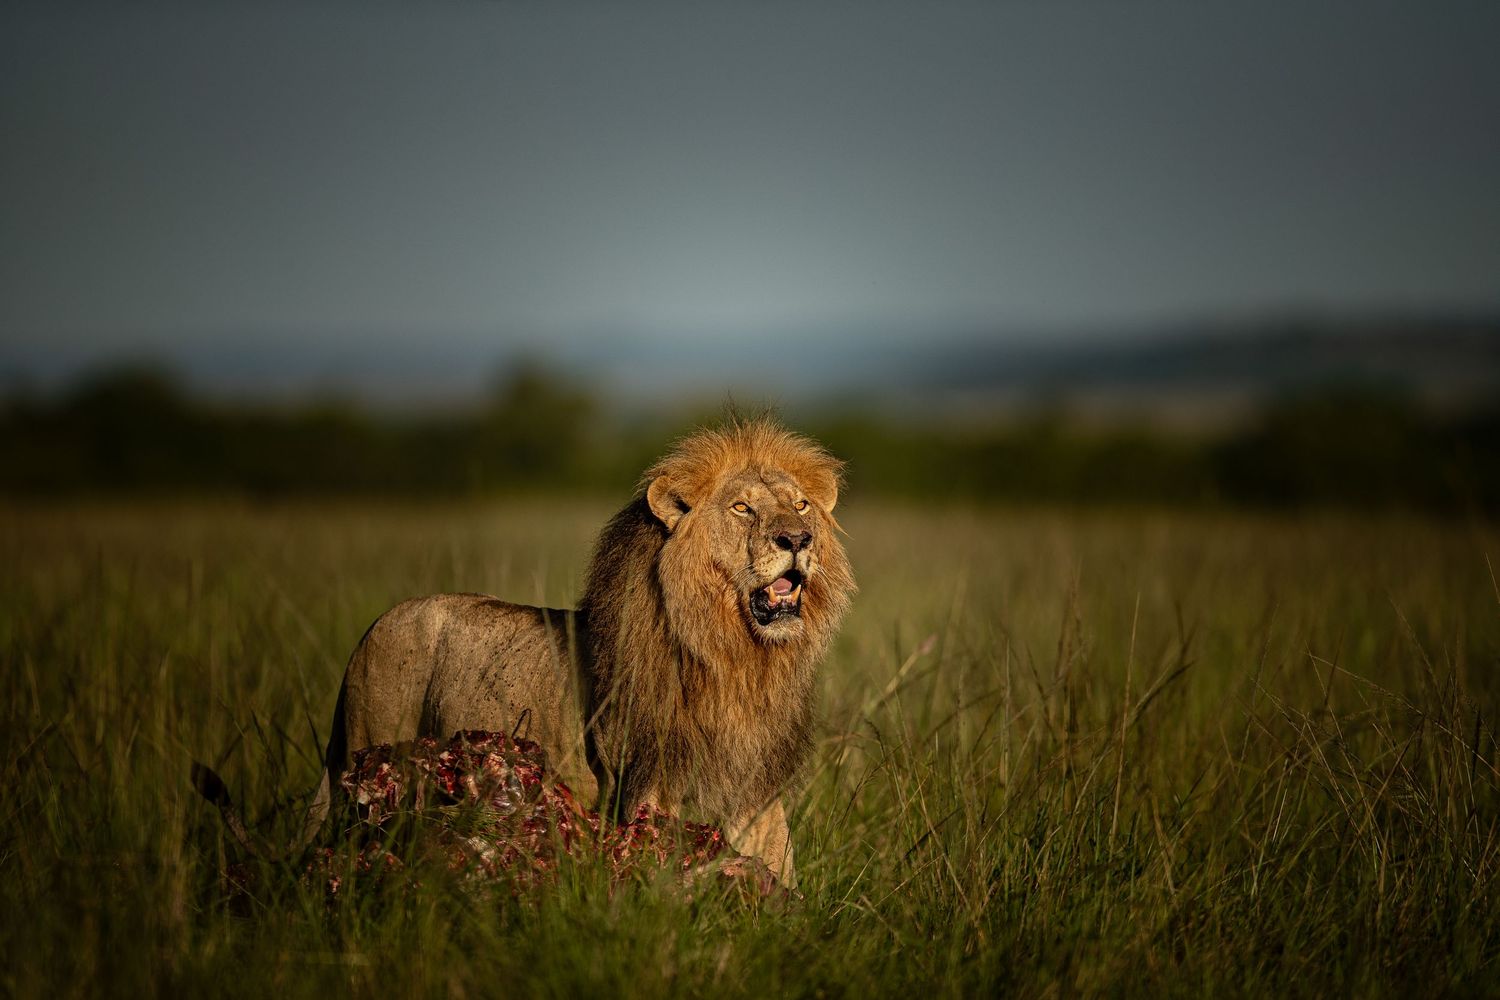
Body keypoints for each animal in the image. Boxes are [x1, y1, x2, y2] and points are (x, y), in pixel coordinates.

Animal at [196, 417, 854, 887]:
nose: (798, 538)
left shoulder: (755, 787)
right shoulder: (644, 785)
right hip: (368, 739)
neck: (739, 658)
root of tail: (374, 626)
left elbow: (779, 869)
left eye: (799, 504)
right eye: (742, 508)